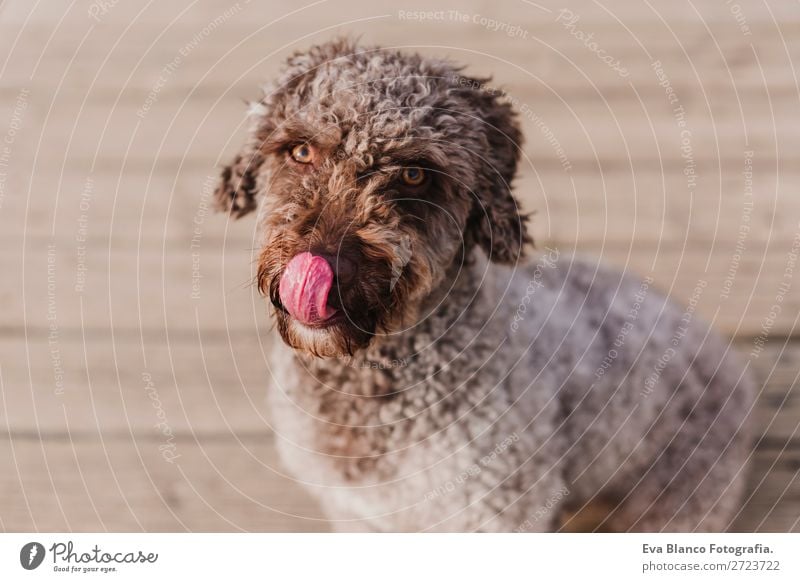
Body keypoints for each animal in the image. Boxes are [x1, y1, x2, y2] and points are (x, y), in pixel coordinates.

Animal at [214, 38, 756, 532]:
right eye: (300, 150)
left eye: (414, 175)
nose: (322, 264)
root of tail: (720, 349)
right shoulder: (358, 515)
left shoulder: (498, 510)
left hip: (680, 496)